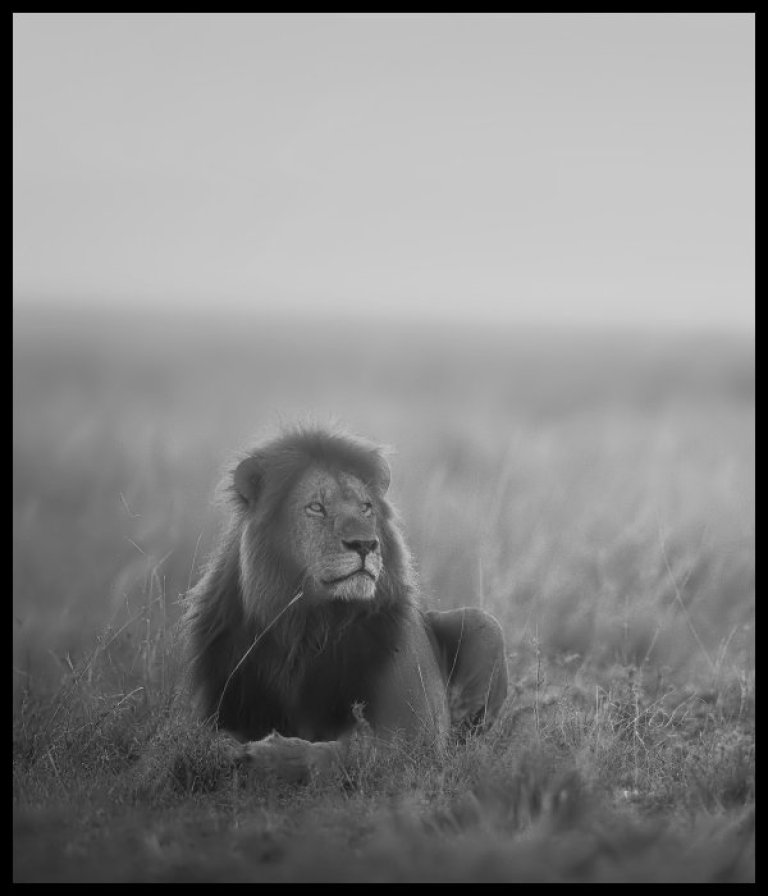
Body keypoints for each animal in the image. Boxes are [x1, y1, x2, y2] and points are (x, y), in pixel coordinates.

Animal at [184, 424, 510, 780]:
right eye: (316, 507)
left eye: (366, 507)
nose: (365, 544)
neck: (307, 625)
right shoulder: (216, 707)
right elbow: (204, 742)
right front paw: (231, 754)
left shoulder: (416, 735)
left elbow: (348, 752)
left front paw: (271, 756)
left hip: (484, 624)